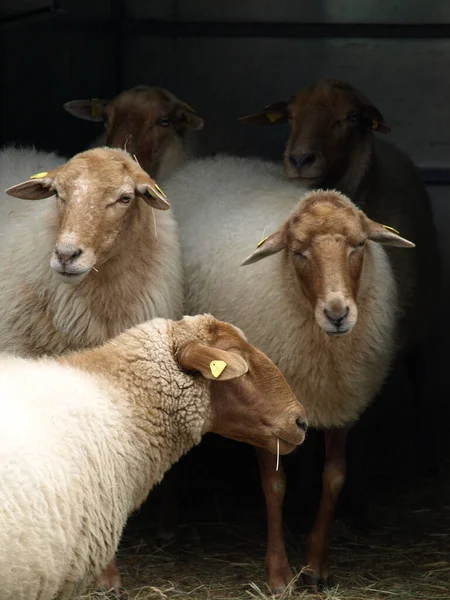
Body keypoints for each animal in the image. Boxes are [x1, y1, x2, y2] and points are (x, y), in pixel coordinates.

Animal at [162, 154, 414, 592]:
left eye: (359, 245)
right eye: (299, 252)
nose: (337, 313)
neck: (326, 351)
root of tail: (209, 160)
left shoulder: (342, 399)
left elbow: (334, 477)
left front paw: (315, 566)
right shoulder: (264, 411)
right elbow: (274, 486)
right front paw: (279, 574)